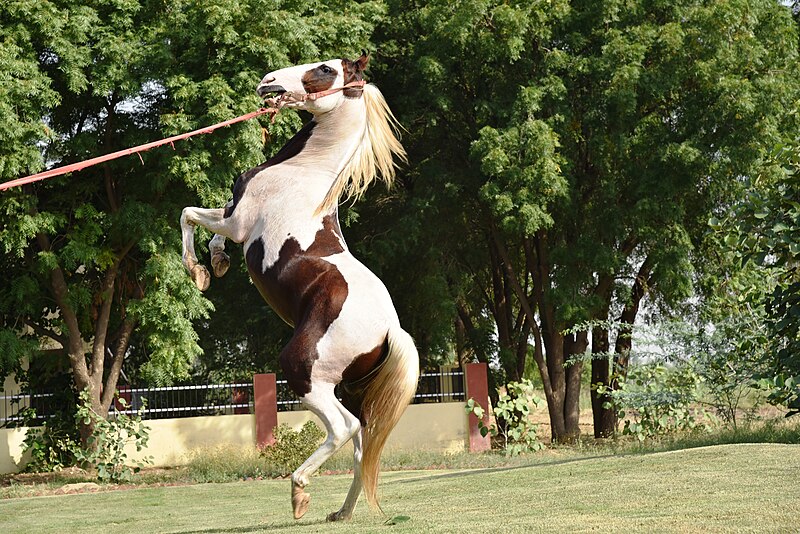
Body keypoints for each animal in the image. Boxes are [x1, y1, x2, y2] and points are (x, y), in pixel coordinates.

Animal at [179, 51, 422, 524]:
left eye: (326, 69)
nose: (268, 81)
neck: (304, 173)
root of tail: (391, 330)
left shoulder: (237, 222)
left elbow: (189, 215)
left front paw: (197, 270)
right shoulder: (233, 219)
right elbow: (206, 225)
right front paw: (216, 264)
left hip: (302, 370)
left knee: (344, 428)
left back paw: (299, 492)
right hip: (342, 387)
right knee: (362, 443)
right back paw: (340, 513)